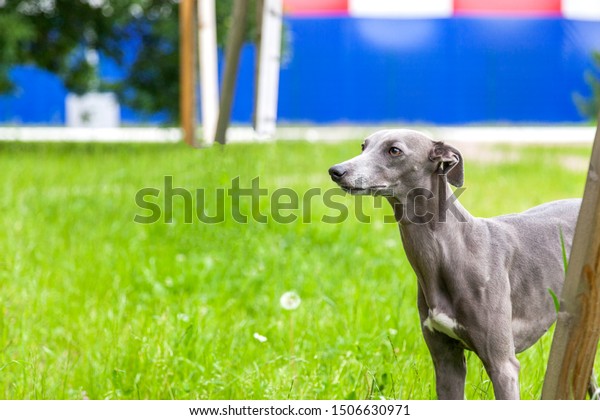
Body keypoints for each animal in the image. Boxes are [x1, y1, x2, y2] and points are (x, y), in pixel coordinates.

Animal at [328, 129, 596, 400]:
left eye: (394, 150)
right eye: (363, 146)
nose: (336, 170)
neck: (453, 250)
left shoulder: (503, 365)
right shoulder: (446, 360)